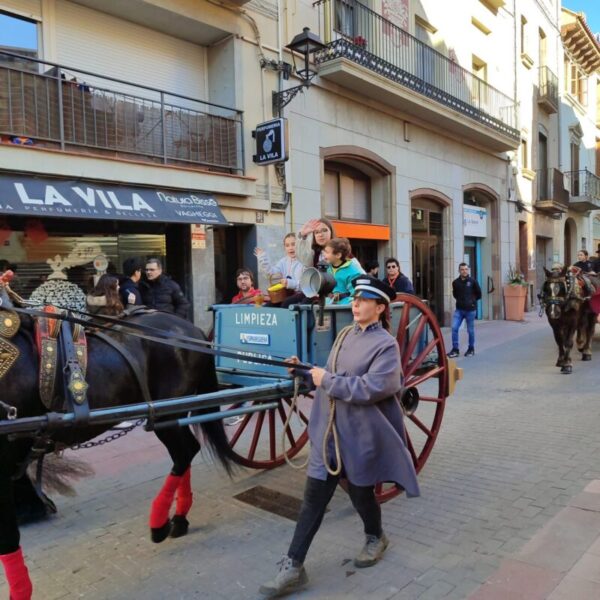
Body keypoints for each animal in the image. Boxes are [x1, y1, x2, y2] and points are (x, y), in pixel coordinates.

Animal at [0, 288, 232, 596]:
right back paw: (179, 519)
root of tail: (192, 330)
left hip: (166, 413)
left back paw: (159, 523)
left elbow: (7, 534)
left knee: (183, 453)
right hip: (173, 414)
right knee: (186, 452)